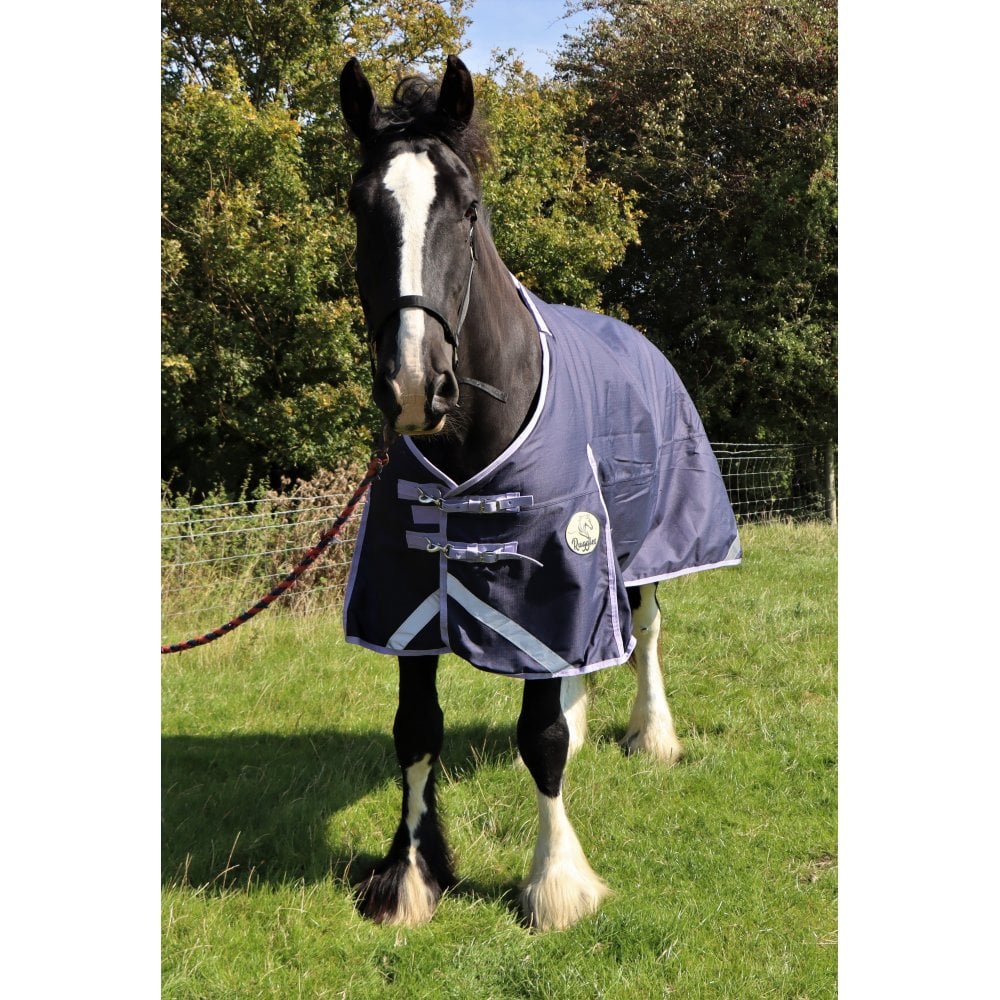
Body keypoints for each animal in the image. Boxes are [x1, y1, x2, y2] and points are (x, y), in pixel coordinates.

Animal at [338, 55, 741, 931]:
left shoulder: (557, 571)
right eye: (359, 206)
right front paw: (410, 877)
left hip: (641, 548)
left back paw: (652, 735)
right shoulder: (412, 595)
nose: (415, 384)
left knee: (644, 635)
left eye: (467, 209)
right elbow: (416, 730)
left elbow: (540, 740)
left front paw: (557, 882)